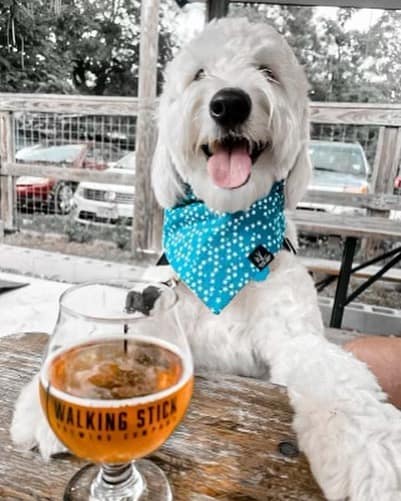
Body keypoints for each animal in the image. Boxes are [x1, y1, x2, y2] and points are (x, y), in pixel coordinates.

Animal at [10, 17, 400, 498]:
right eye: (198, 74)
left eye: (267, 71)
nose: (229, 103)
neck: (224, 243)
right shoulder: (161, 315)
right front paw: (45, 408)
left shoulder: (295, 338)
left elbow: (338, 383)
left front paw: (373, 453)